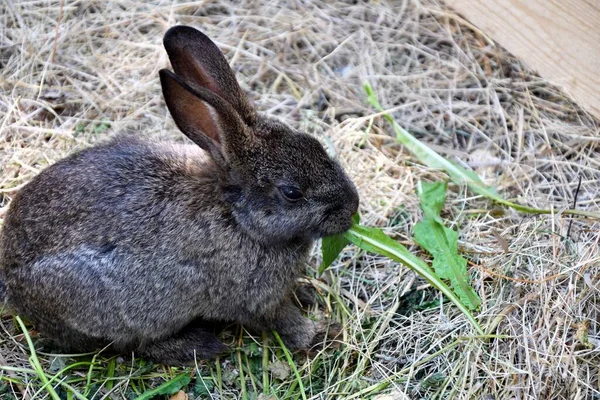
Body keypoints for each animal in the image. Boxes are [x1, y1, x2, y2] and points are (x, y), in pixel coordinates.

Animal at [0, 23, 356, 364]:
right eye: (292, 192)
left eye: (316, 144)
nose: (352, 208)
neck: (236, 217)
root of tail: (12, 280)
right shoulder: (254, 299)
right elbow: (284, 322)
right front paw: (322, 334)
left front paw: (306, 296)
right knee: (130, 344)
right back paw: (197, 346)